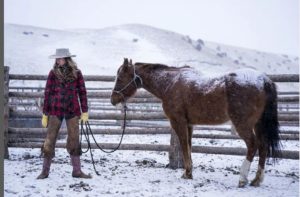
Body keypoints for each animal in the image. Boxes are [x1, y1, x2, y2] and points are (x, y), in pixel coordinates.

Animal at [110, 57, 282, 187]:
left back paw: (242, 179)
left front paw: (187, 173)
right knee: (263, 147)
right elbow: (189, 146)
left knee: (253, 145)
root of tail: (264, 80)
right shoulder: (189, 124)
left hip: (243, 125)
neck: (170, 83)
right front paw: (189, 171)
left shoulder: (178, 122)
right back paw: (256, 180)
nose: (113, 99)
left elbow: (184, 146)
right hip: (258, 125)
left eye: (120, 78)